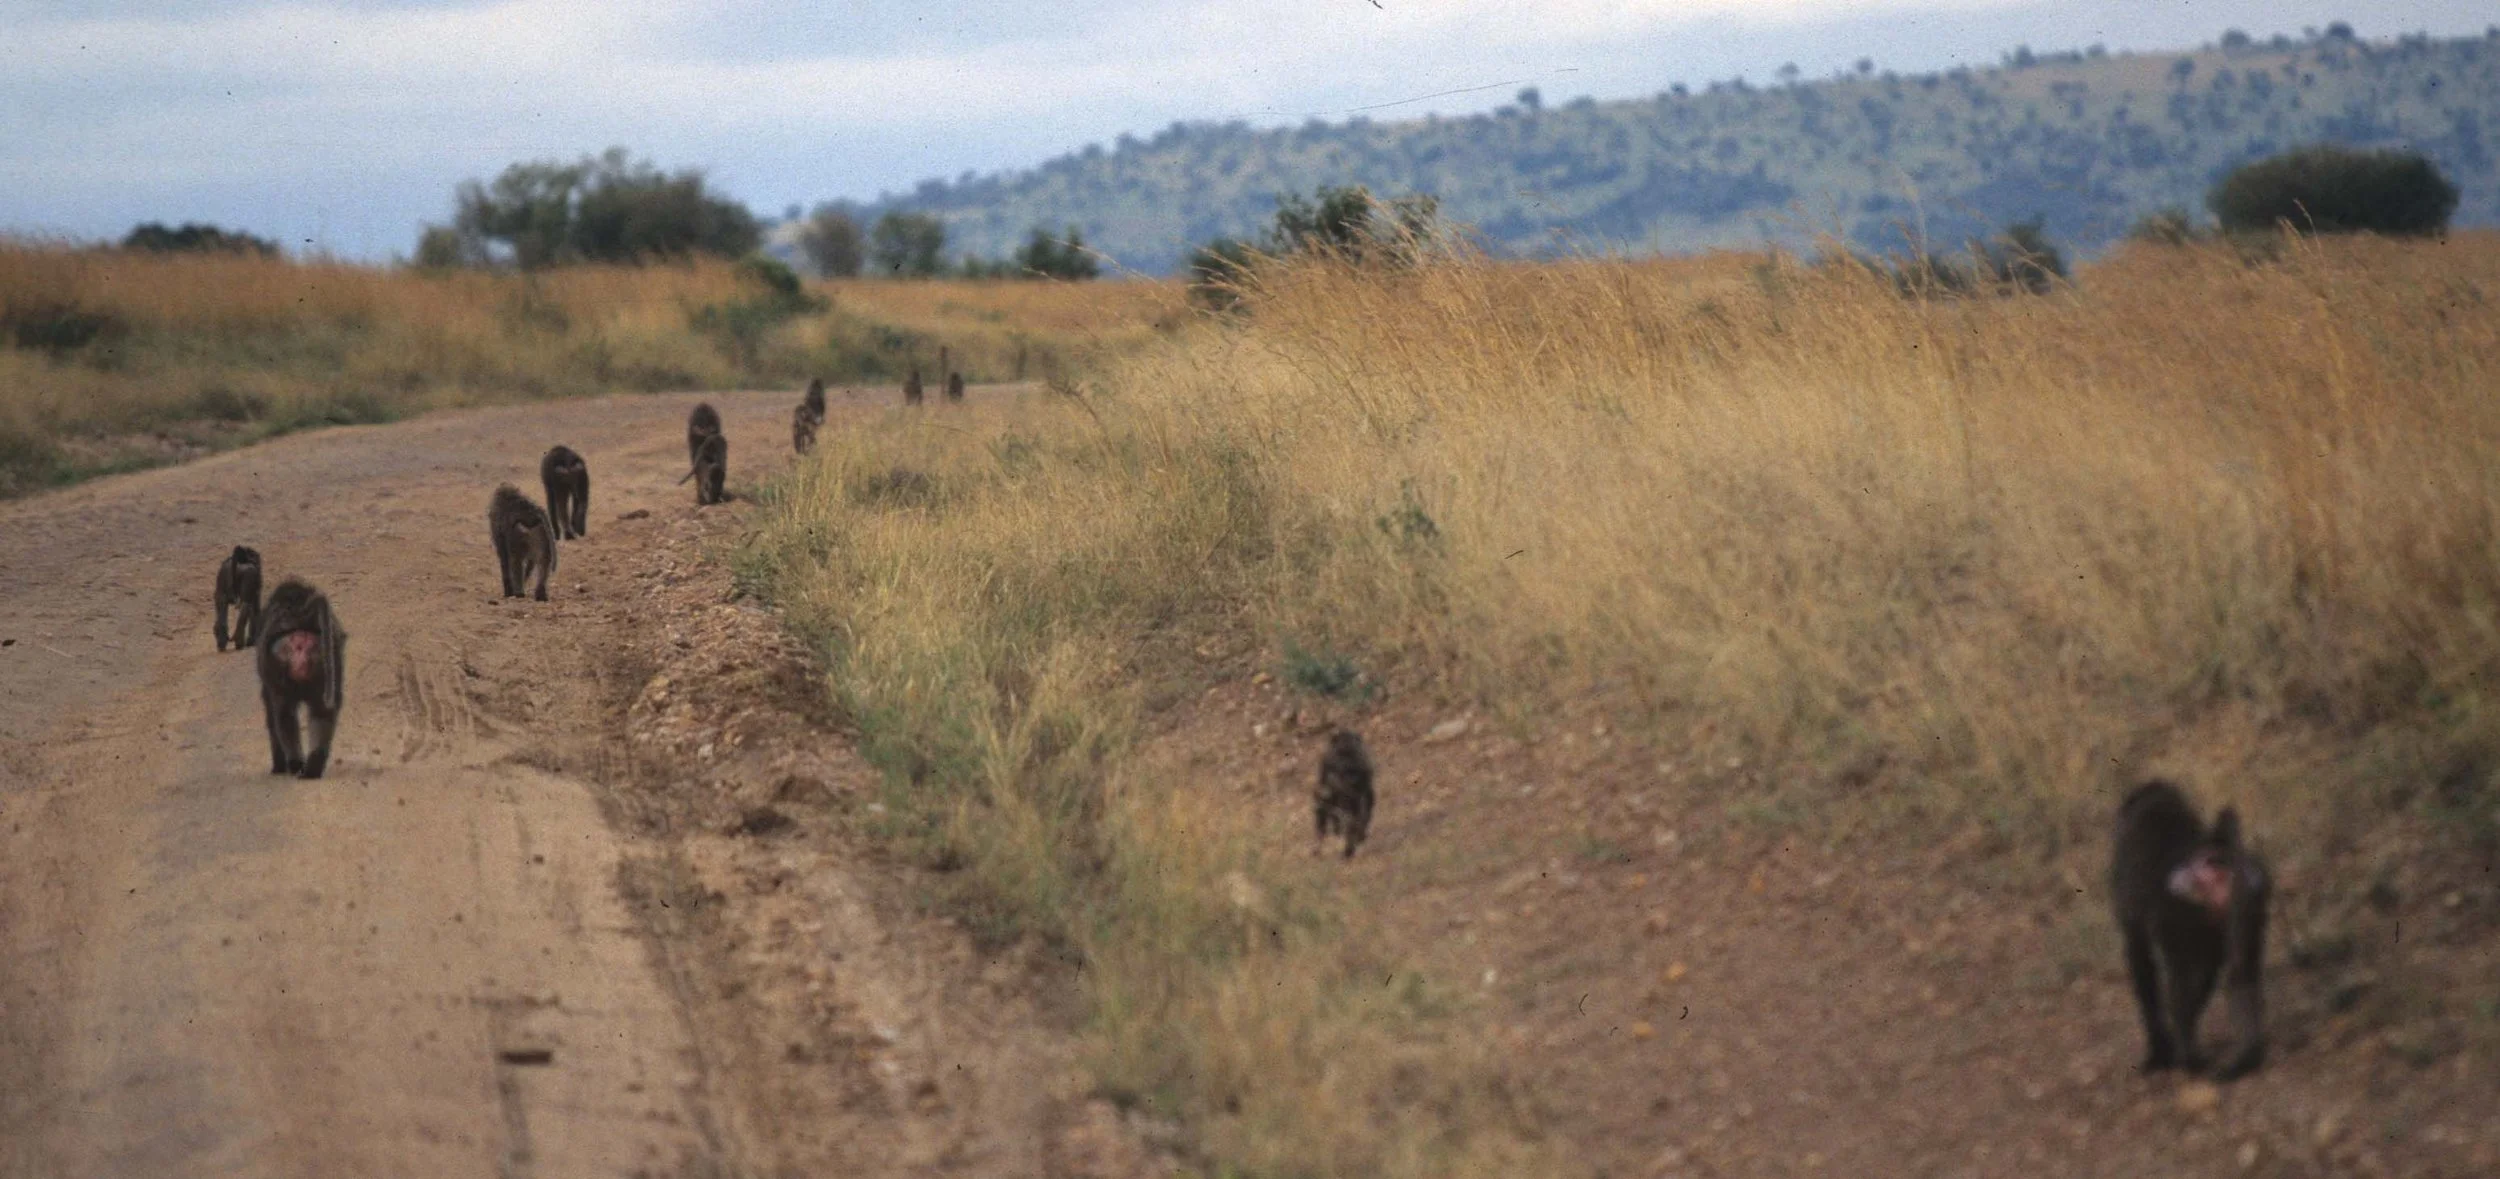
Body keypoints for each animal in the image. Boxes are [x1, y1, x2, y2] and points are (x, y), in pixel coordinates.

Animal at [255, 578, 345, 779]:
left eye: (307, 646)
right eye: (298, 646)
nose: (302, 661)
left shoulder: (272, 671)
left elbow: (280, 715)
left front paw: (286, 765)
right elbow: (320, 712)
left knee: (281, 714)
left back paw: (291, 764)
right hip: (330, 656)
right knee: (322, 711)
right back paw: (313, 767)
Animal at [2110, 780, 2270, 1081]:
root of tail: (2218, 857)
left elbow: (2142, 966)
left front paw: (2159, 1054)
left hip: (2181, 912)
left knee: (2181, 982)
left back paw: (2189, 1058)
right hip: (2249, 902)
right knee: (2241, 970)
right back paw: (2248, 1055)